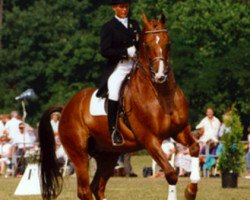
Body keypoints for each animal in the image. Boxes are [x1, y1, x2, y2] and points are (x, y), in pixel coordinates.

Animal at [38, 14, 200, 200]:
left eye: (168, 43)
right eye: (146, 45)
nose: (160, 76)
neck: (162, 94)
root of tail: (66, 108)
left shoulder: (179, 130)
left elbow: (195, 148)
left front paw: (191, 191)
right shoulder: (150, 139)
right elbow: (171, 174)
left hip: (108, 155)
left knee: (97, 187)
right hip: (79, 154)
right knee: (85, 190)